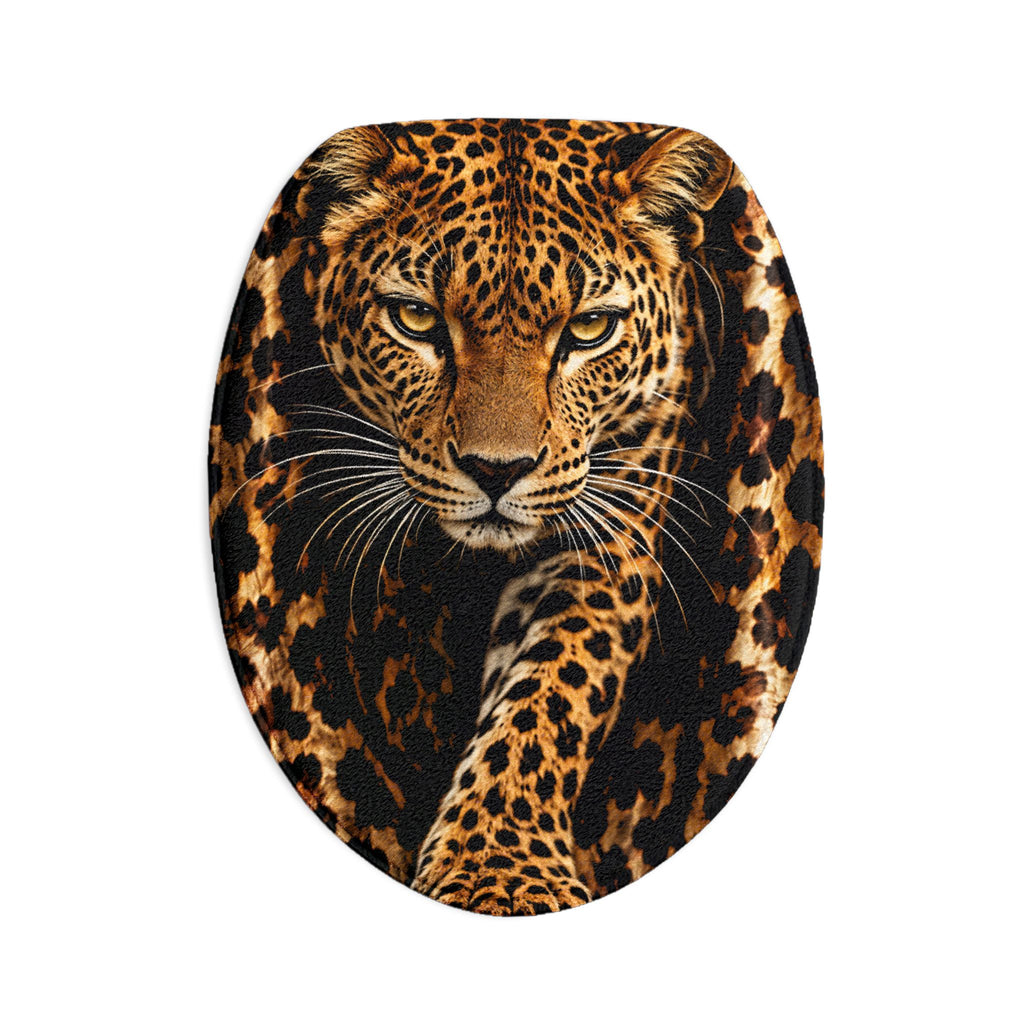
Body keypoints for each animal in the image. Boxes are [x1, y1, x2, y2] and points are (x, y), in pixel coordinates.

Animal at [209, 118, 824, 915]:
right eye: (416, 318)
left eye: (590, 329)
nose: (497, 471)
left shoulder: (609, 533)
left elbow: (552, 689)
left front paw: (497, 867)